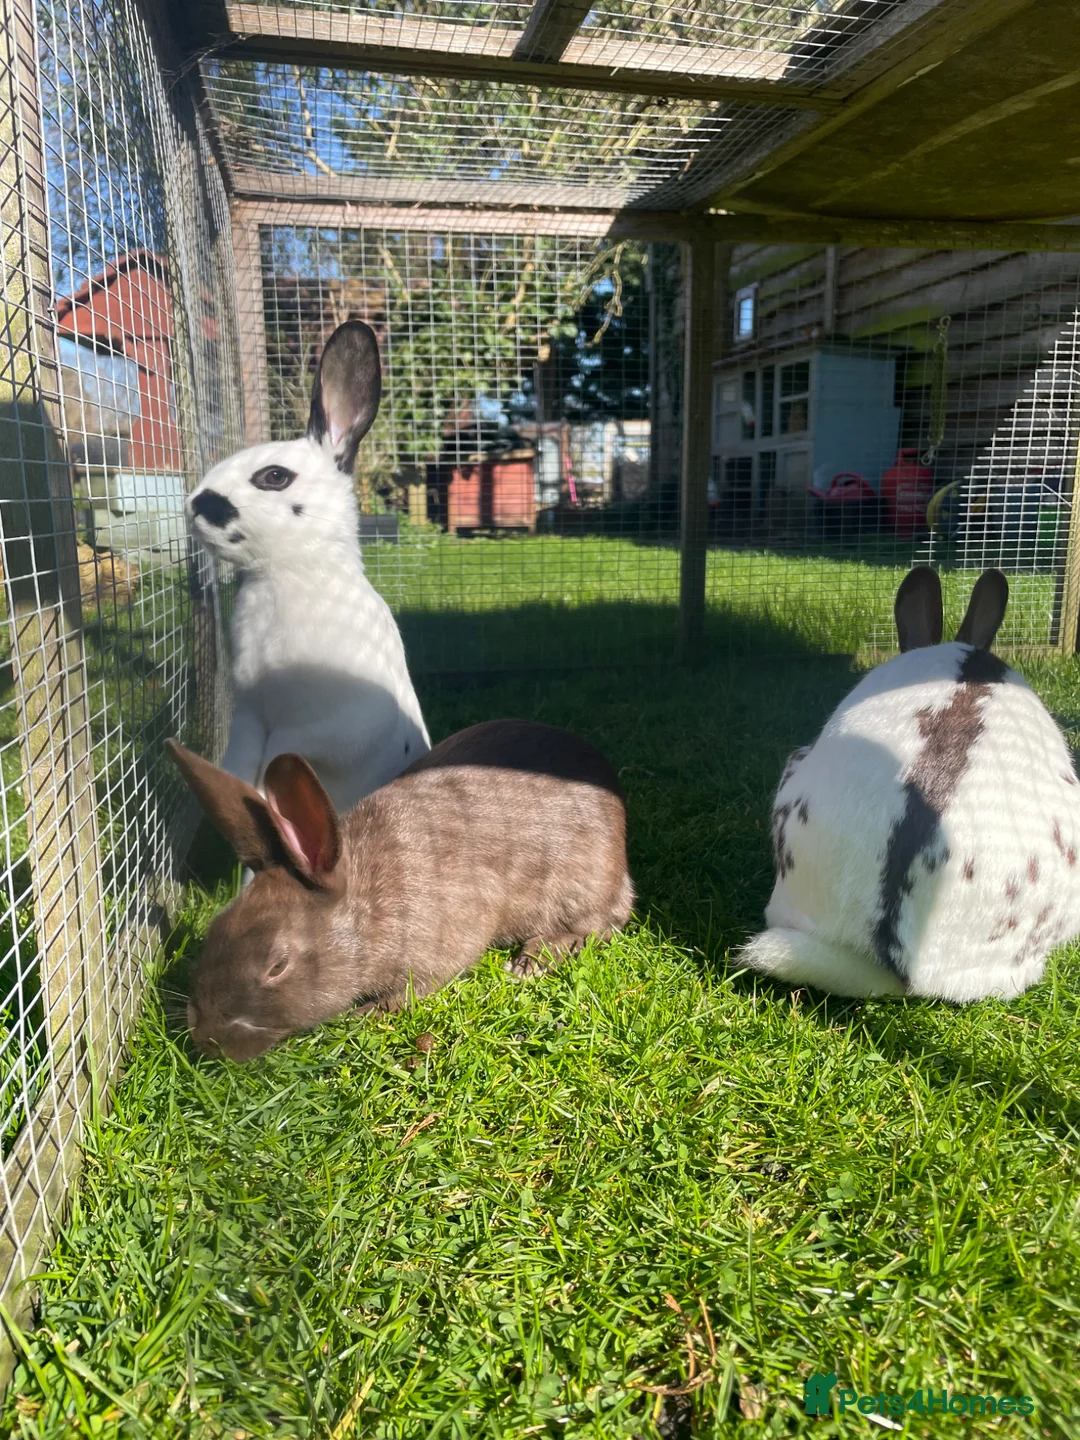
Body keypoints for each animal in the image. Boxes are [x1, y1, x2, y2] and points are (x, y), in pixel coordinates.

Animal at [166, 719, 634, 1061]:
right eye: (214, 931)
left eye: (277, 966)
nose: (206, 1041)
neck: (367, 910)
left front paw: (365, 1014)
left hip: (584, 881)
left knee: (605, 921)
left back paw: (535, 958)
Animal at [185, 320, 429, 815]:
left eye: (274, 476)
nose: (194, 506)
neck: (285, 574)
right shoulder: (249, 715)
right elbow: (242, 758)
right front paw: (238, 790)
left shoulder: (329, 726)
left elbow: (282, 753)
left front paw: (266, 796)